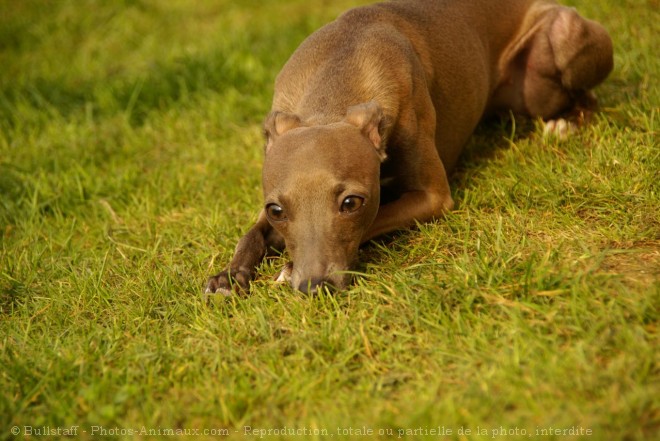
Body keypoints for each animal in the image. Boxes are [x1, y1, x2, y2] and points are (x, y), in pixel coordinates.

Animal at [206, 0, 612, 296]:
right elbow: (251, 234)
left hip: (561, 43)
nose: (313, 286)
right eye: (275, 210)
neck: (340, 71)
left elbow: (378, 217)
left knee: (588, 96)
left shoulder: (433, 196)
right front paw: (229, 275)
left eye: (351, 203)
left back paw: (567, 122)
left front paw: (285, 266)